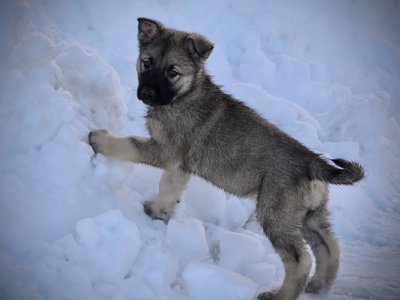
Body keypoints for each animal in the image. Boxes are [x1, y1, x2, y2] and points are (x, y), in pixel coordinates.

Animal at [89, 18, 364, 300]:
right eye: (147, 62)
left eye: (172, 72)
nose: (147, 92)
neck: (184, 94)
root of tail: (313, 162)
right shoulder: (179, 165)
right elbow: (170, 187)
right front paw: (160, 212)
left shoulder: (166, 151)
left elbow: (130, 145)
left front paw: (100, 139)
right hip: (308, 215)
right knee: (329, 246)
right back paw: (319, 285)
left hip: (276, 214)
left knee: (300, 260)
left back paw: (279, 295)